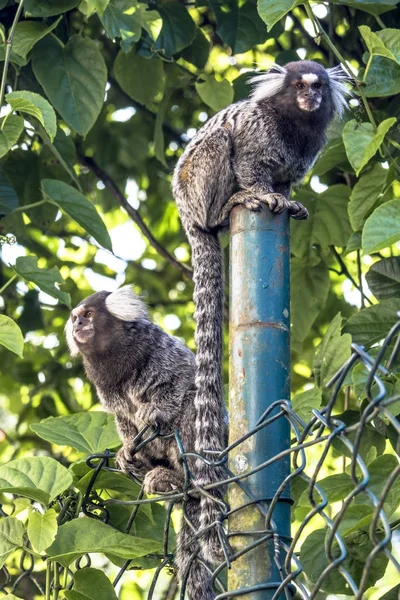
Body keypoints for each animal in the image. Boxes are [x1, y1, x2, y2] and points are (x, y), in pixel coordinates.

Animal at [67, 288, 227, 600]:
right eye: (75, 317)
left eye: (88, 315)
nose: (77, 325)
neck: (114, 356)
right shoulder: (107, 390)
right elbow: (123, 417)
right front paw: (126, 451)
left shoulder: (161, 351)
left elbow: (183, 380)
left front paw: (153, 411)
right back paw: (145, 469)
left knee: (191, 406)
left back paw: (178, 478)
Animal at [172, 59, 350, 556]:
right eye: (299, 86)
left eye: (318, 87)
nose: (311, 97)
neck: (295, 125)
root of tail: (187, 217)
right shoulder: (257, 137)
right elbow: (249, 164)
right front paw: (262, 194)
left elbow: (286, 182)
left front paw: (289, 201)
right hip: (196, 186)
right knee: (218, 147)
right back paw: (228, 206)